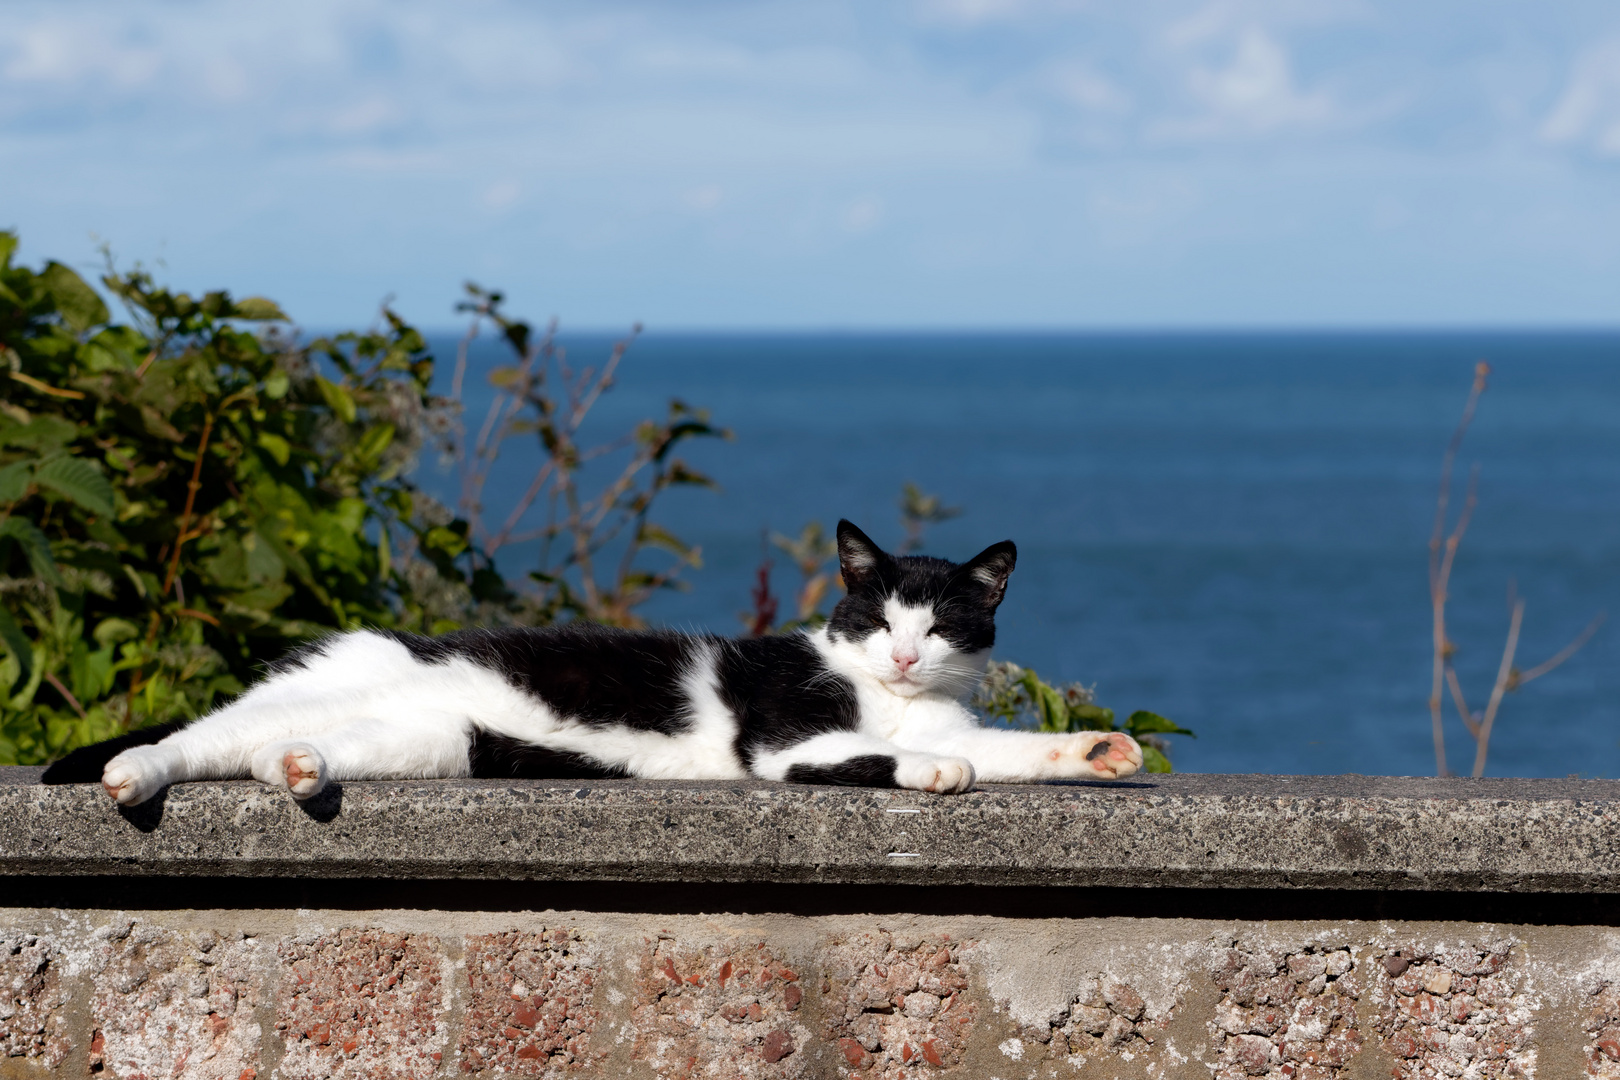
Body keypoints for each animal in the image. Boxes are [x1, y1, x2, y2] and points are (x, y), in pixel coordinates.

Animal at [44, 524, 1146, 803]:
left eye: (944, 625)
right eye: (877, 617)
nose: (909, 655)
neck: (887, 699)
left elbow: (1006, 749)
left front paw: (1096, 751)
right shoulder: (786, 741)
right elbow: (872, 756)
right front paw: (933, 770)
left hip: (428, 741)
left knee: (271, 754)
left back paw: (301, 773)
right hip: (312, 692)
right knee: (196, 740)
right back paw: (132, 775)